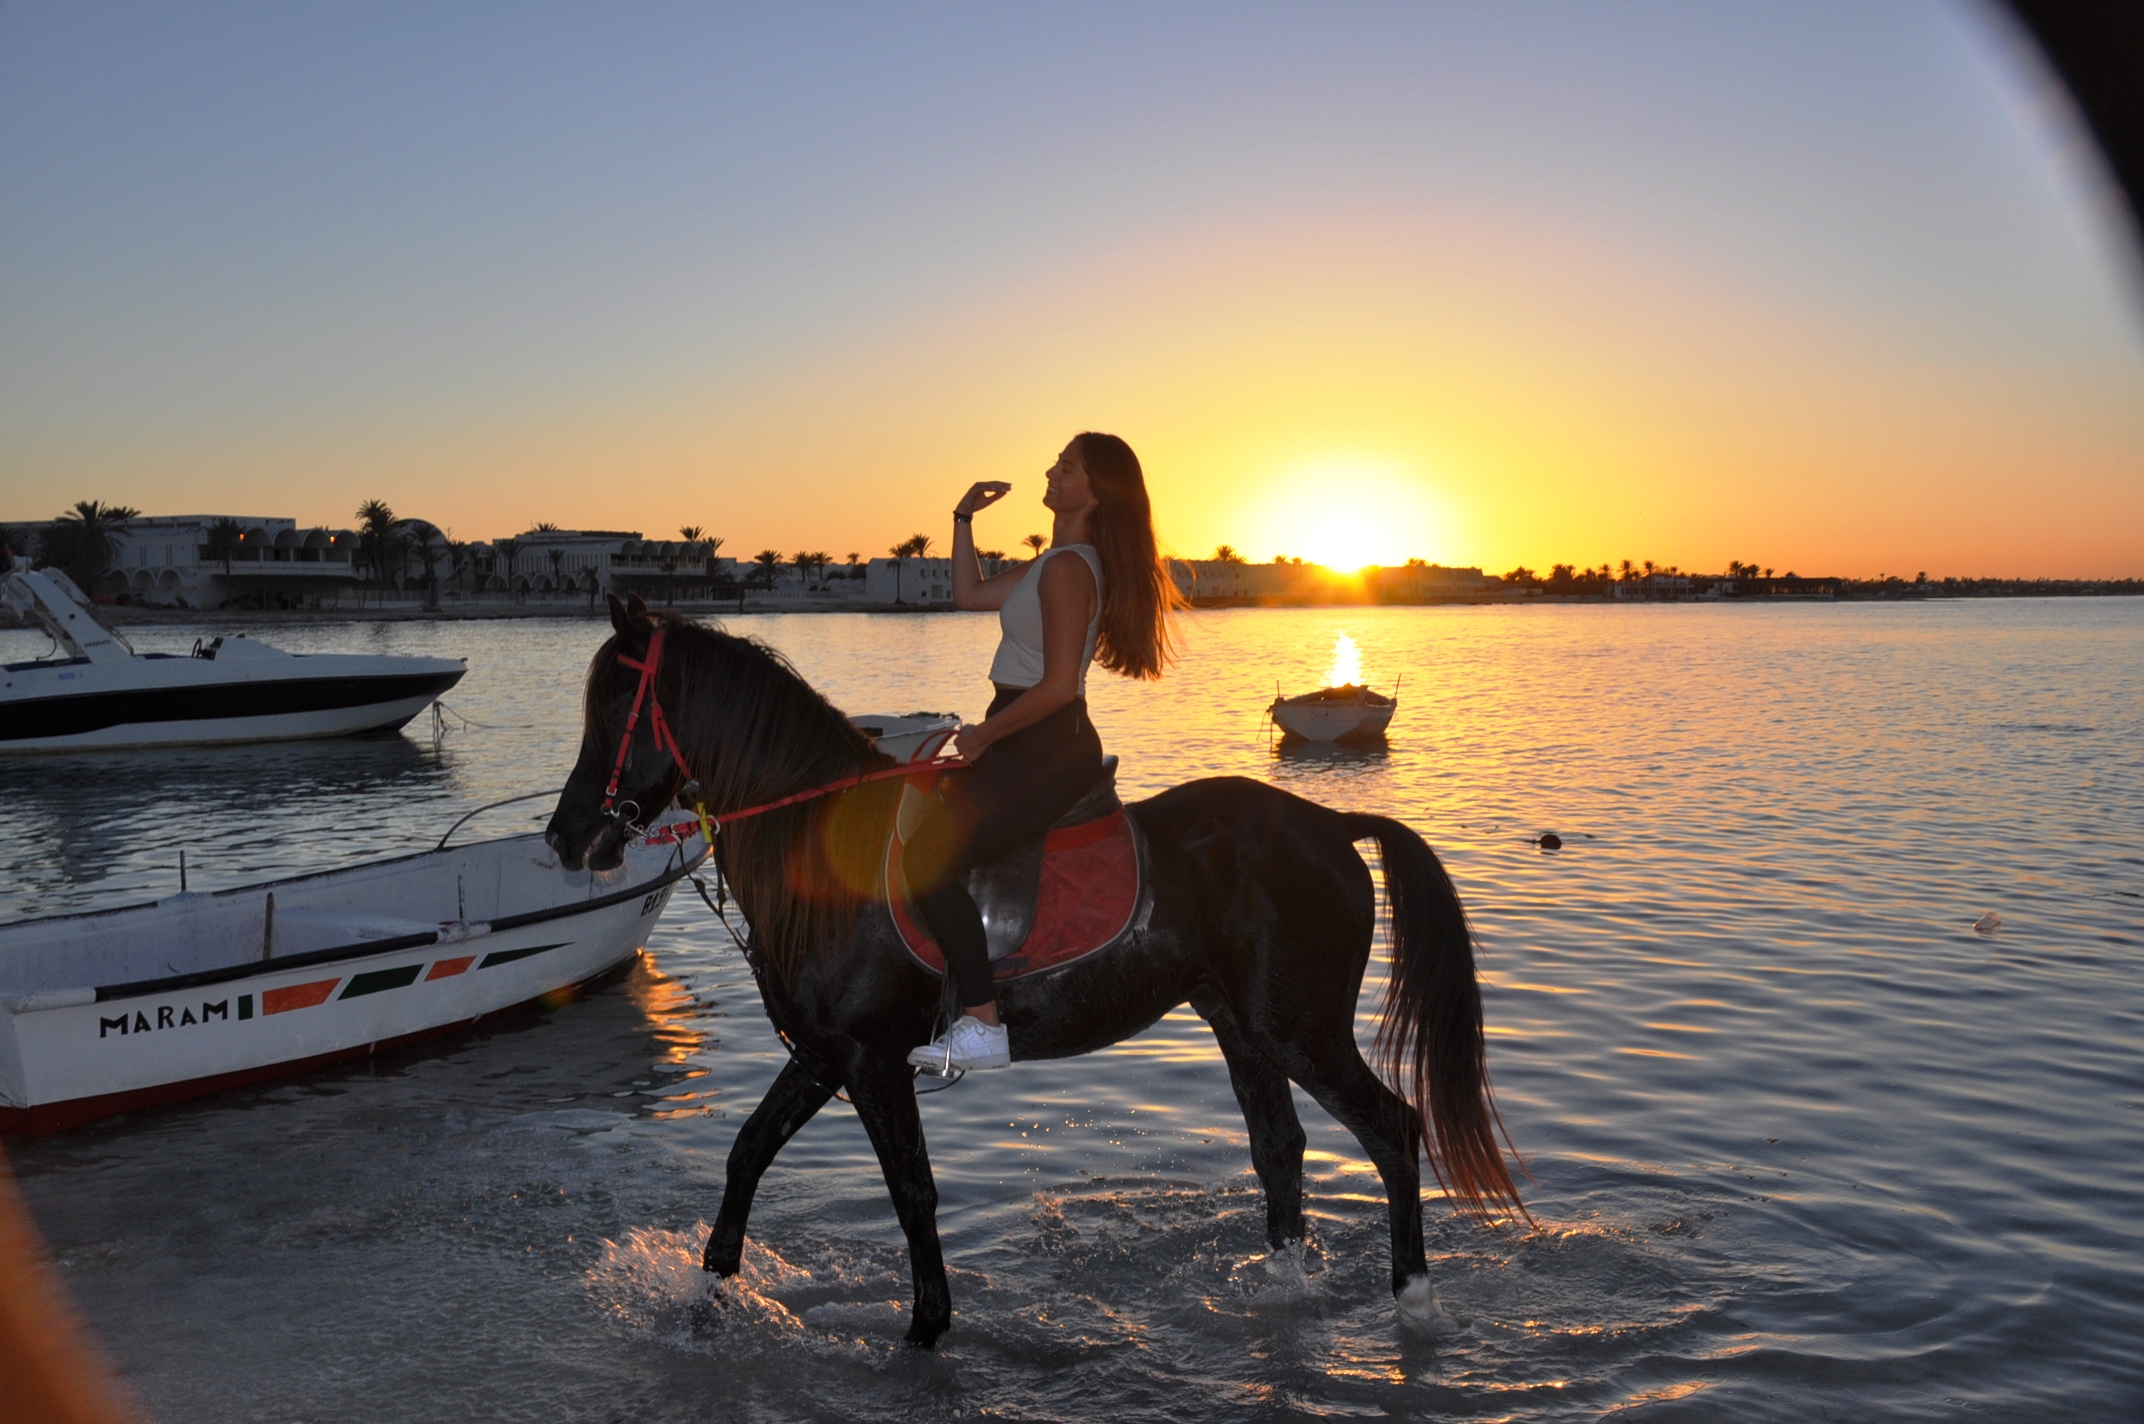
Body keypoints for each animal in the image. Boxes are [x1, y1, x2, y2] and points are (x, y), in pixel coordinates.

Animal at [544, 595, 1524, 1346]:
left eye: (615, 709)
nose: (565, 838)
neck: (827, 851)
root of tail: (1330, 825)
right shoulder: (825, 1054)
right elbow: (746, 1155)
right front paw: (707, 1296)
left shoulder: (869, 1061)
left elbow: (912, 1191)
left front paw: (927, 1328)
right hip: (1241, 1025)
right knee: (1280, 1151)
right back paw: (1281, 1292)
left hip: (1300, 1029)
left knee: (1393, 1131)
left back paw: (1414, 1301)